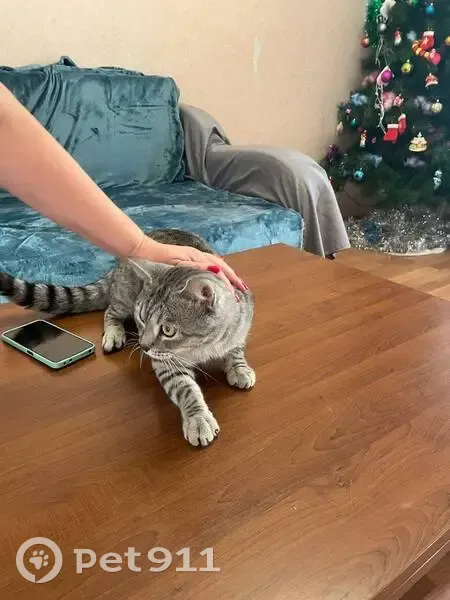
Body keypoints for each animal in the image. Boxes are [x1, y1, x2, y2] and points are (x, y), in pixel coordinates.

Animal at [0, 229, 255, 447]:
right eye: (141, 317)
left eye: (168, 330)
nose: (143, 345)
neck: (203, 346)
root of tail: (115, 269)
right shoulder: (165, 362)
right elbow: (185, 388)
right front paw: (198, 419)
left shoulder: (242, 323)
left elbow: (236, 349)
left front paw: (239, 367)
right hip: (125, 297)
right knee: (110, 311)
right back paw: (114, 333)